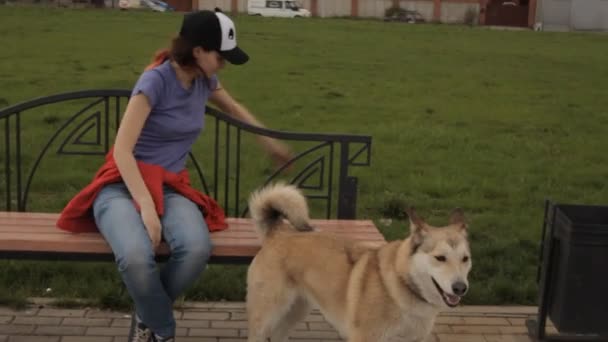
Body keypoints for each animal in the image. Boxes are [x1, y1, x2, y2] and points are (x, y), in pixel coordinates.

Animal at [245, 184, 472, 342]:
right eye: (440, 258)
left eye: (465, 259)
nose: (460, 288)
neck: (401, 285)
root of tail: (278, 233)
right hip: (266, 316)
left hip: (296, 310)